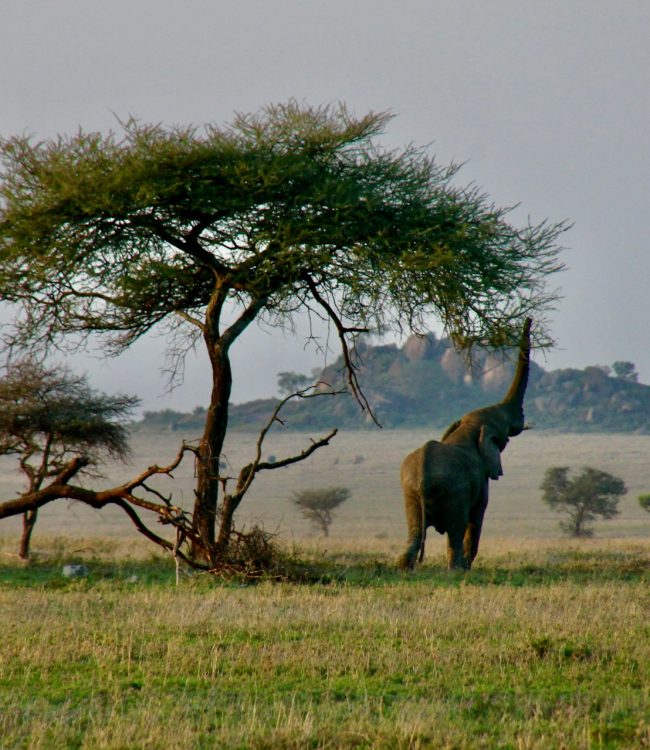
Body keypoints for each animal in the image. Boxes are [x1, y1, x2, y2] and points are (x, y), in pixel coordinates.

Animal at [398, 318, 532, 571]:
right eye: (504, 428)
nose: (529, 319)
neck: (468, 428)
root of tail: (423, 475)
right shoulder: (481, 479)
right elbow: (478, 515)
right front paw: (467, 567)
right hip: (454, 491)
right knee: (457, 529)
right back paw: (457, 569)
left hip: (409, 491)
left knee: (414, 531)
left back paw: (404, 568)